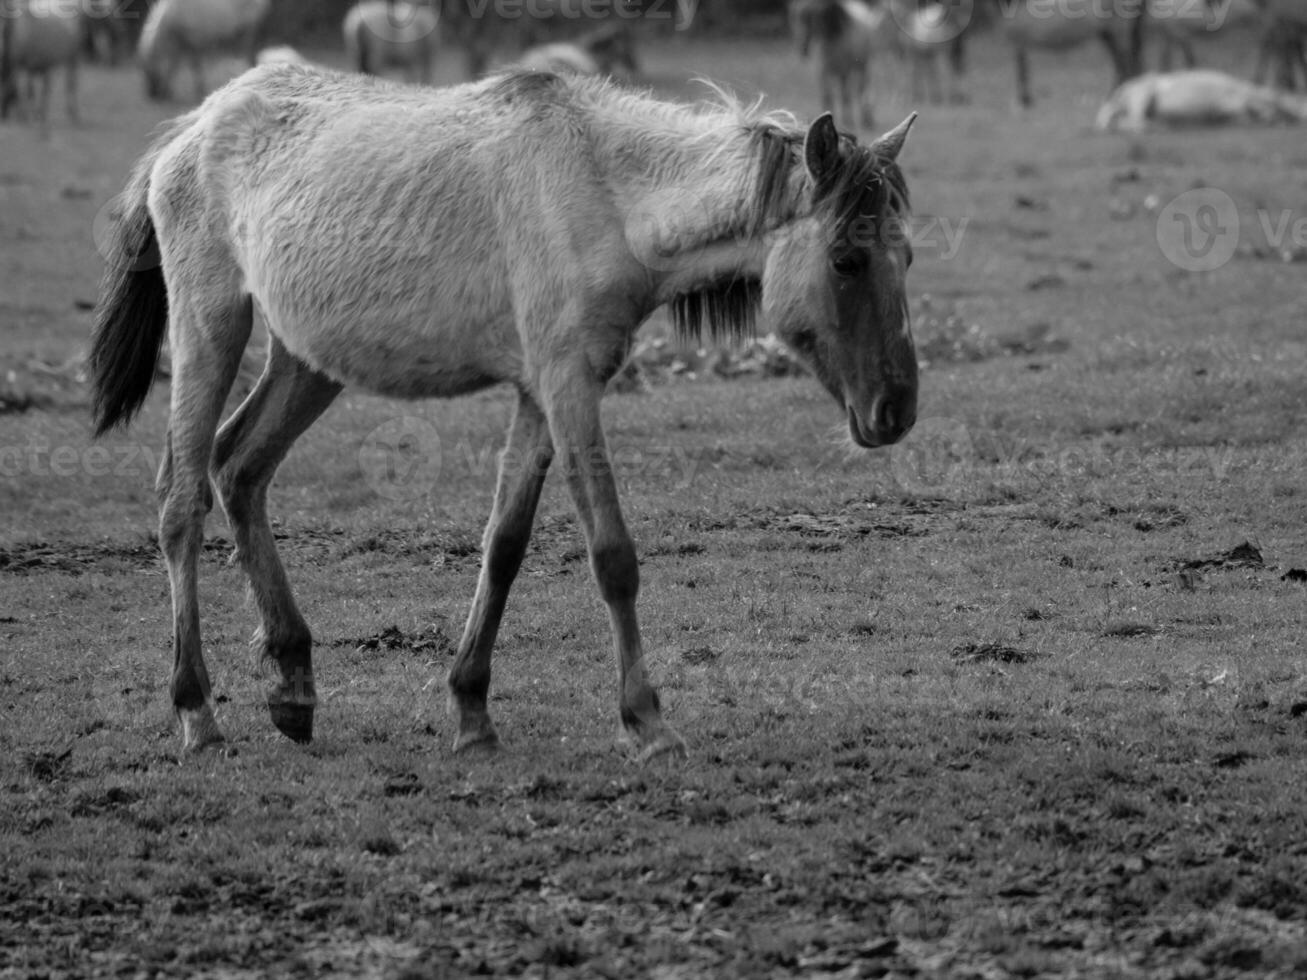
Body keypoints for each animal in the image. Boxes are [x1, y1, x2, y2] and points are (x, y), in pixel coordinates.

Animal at [89, 65, 920, 763]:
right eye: (846, 259)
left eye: (905, 257)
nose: (898, 411)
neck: (606, 191)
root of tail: (195, 125)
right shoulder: (566, 384)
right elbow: (611, 554)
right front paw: (646, 721)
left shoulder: (538, 394)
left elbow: (504, 544)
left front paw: (471, 709)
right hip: (210, 324)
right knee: (181, 500)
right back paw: (196, 712)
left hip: (306, 360)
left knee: (239, 468)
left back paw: (293, 685)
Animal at [137, 0, 270, 101]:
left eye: (148, 70)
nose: (152, 94)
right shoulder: (182, 46)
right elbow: (173, 67)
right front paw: (168, 90)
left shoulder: (194, 42)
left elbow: (195, 67)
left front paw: (199, 89)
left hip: (247, 32)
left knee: (249, 54)